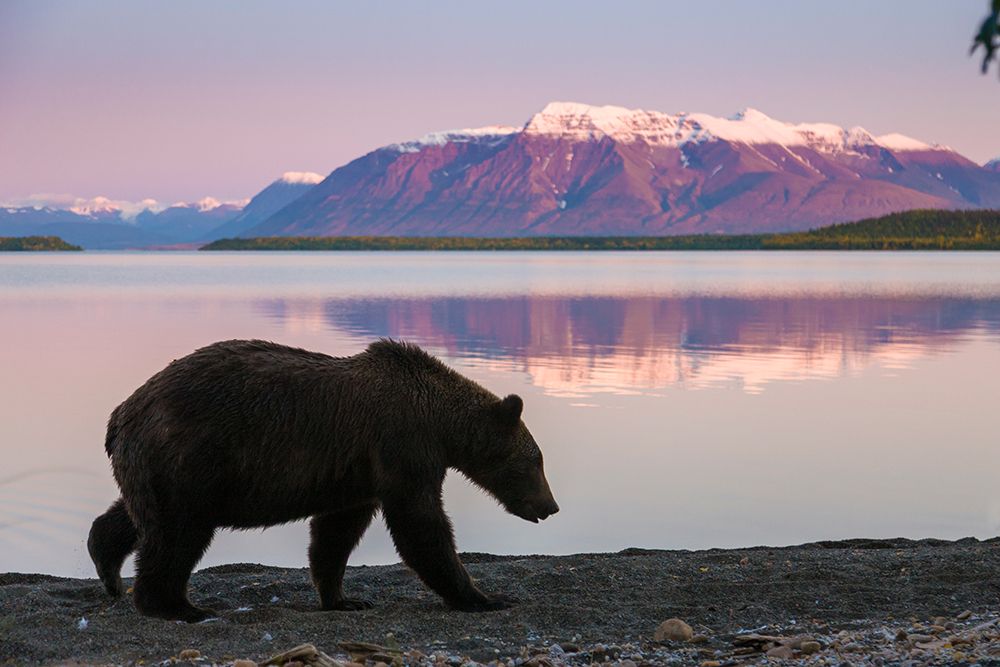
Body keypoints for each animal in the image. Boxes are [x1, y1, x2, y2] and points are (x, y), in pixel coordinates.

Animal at [87, 338, 559, 622]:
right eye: (536, 461)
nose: (551, 506)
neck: (438, 422)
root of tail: (120, 415)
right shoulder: (402, 449)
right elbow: (421, 525)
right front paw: (484, 597)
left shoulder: (356, 472)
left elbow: (336, 533)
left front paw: (344, 598)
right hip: (192, 457)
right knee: (178, 533)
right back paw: (179, 606)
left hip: (164, 468)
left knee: (138, 517)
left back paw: (108, 567)